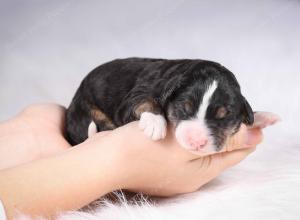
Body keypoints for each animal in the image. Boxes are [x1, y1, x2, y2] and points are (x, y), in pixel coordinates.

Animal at [66, 57, 282, 154]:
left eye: (223, 116)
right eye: (184, 108)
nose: (196, 142)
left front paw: (263, 116)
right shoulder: (133, 98)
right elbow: (146, 101)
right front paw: (155, 123)